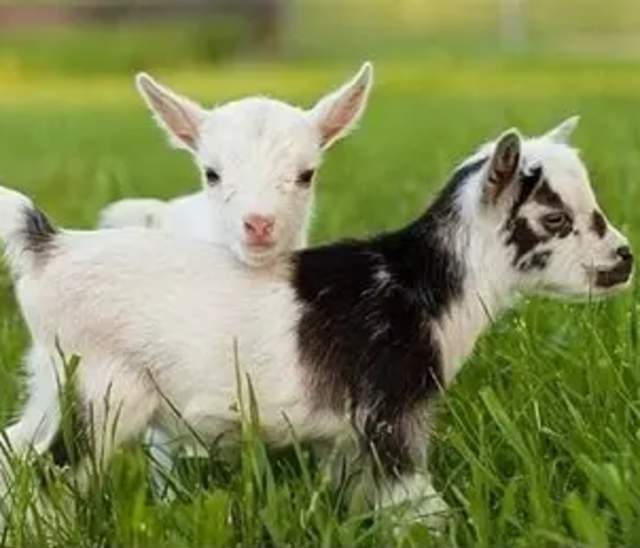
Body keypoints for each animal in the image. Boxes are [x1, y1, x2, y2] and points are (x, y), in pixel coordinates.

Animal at [0, 117, 632, 529]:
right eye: (556, 219)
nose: (625, 259)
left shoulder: (348, 437)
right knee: (51, 472)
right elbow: (417, 503)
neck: (420, 280)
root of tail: (48, 246)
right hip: (101, 392)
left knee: (17, 455)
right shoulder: (389, 415)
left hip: (54, 382)